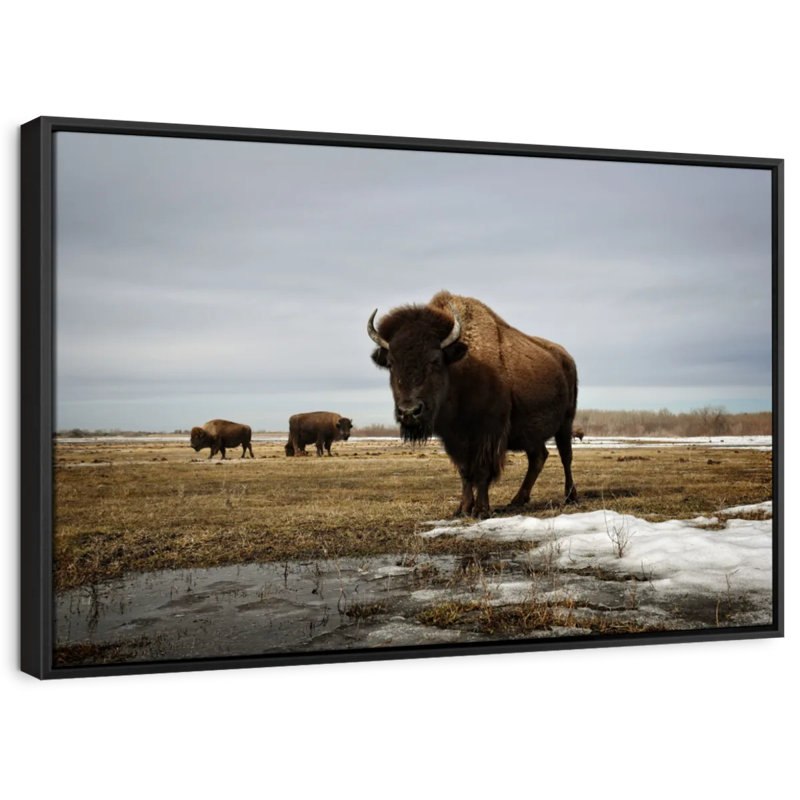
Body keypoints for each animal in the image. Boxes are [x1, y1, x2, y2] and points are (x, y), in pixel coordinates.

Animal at [368, 291, 578, 518]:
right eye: (391, 363)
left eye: (435, 360)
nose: (409, 412)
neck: (461, 369)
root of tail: (566, 358)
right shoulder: (454, 438)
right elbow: (465, 472)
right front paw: (462, 509)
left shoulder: (487, 433)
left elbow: (482, 471)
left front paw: (481, 510)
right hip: (531, 433)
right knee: (538, 457)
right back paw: (517, 501)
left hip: (566, 423)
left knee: (565, 456)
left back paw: (570, 497)